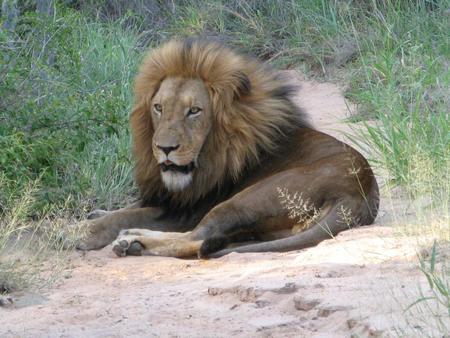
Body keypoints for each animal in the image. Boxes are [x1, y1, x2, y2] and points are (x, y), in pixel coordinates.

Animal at [78, 38, 380, 258]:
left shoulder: (188, 209)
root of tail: (360, 193)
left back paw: (133, 239)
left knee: (196, 238)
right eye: (158, 107)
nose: (165, 148)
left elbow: (131, 213)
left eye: (194, 111)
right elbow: (130, 207)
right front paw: (97, 213)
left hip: (247, 199)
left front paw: (86, 230)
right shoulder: (175, 199)